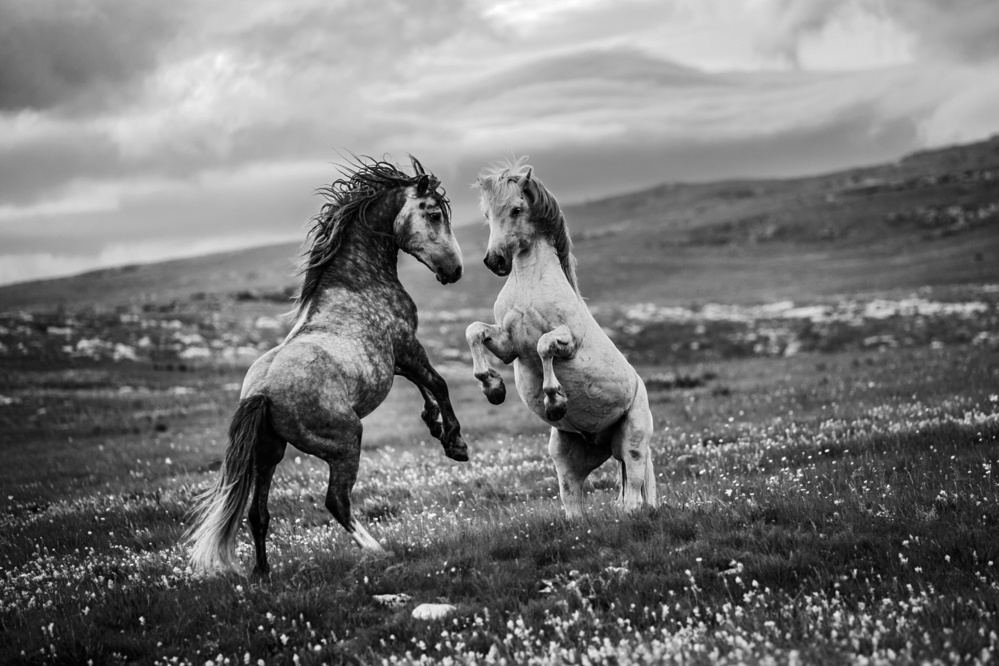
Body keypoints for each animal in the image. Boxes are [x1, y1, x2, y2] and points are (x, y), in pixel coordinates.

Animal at [186, 156, 467, 575]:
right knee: (336, 501)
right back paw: (378, 551)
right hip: (345, 442)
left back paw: (263, 573)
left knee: (258, 513)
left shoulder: (395, 361)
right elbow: (438, 383)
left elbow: (426, 388)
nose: (455, 270)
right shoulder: (406, 347)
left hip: (268, 455)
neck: (357, 283)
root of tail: (262, 394)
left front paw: (433, 425)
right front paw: (455, 441)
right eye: (433, 214)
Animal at [466, 158, 657, 519]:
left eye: (515, 209)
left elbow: (544, 346)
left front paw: (554, 400)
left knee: (633, 497)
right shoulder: (508, 347)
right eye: (486, 214)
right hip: (566, 456)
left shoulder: (568, 341)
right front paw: (492, 387)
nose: (494, 261)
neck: (529, 284)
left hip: (633, 442)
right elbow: (474, 332)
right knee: (574, 504)